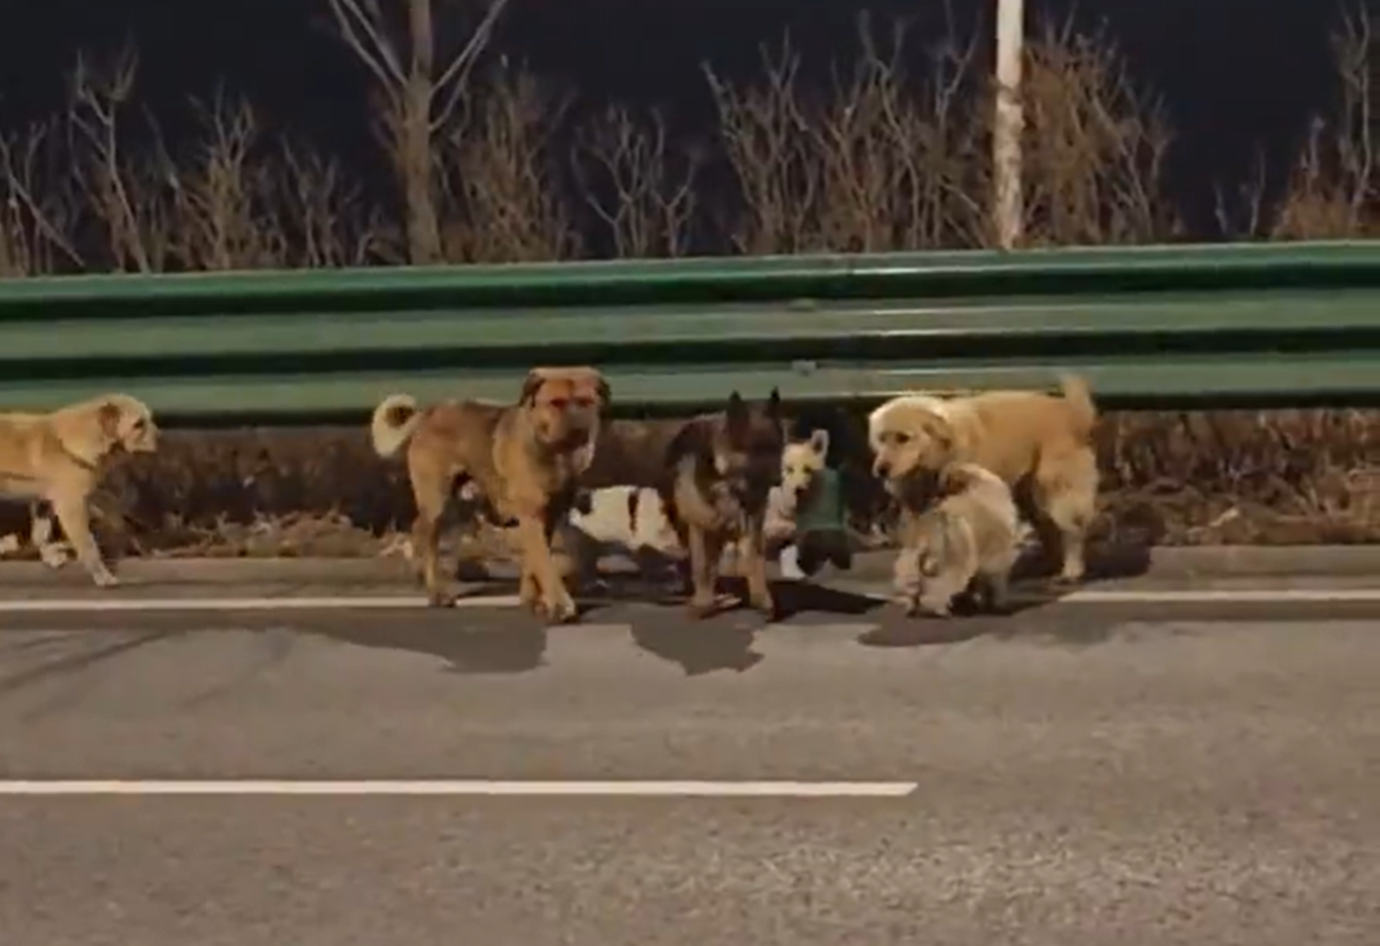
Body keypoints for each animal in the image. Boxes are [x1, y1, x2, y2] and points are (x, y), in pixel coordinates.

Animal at [0, 393, 159, 586]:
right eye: (138, 424)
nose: (162, 438)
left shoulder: (45, 503)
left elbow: (39, 535)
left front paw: (51, 556)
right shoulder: (71, 507)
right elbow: (89, 546)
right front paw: (103, 576)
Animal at [370, 367, 609, 621]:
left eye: (586, 401)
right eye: (556, 403)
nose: (577, 421)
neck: (552, 450)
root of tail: (430, 412)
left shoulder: (546, 519)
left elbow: (534, 563)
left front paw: (532, 600)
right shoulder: (532, 517)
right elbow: (545, 565)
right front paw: (561, 605)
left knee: (420, 531)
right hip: (439, 501)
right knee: (427, 537)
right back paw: (436, 591)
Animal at [661, 388, 785, 619]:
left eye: (776, 448)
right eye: (755, 450)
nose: (779, 480)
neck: (729, 483)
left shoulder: (751, 527)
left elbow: (754, 562)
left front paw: (761, 598)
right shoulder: (700, 528)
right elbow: (702, 567)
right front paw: (703, 601)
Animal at [868, 375, 1098, 584]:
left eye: (903, 438)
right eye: (881, 438)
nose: (881, 470)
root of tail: (1069, 409)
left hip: (1055, 489)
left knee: (1072, 531)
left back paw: (1071, 571)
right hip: (1029, 498)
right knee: (1049, 530)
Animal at [893, 462, 1021, 617]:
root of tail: (924, 537)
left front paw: (979, 600)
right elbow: (998, 572)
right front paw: (999, 602)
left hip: (907, 561)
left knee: (909, 584)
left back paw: (908, 605)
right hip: (953, 560)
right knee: (941, 587)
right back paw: (942, 609)